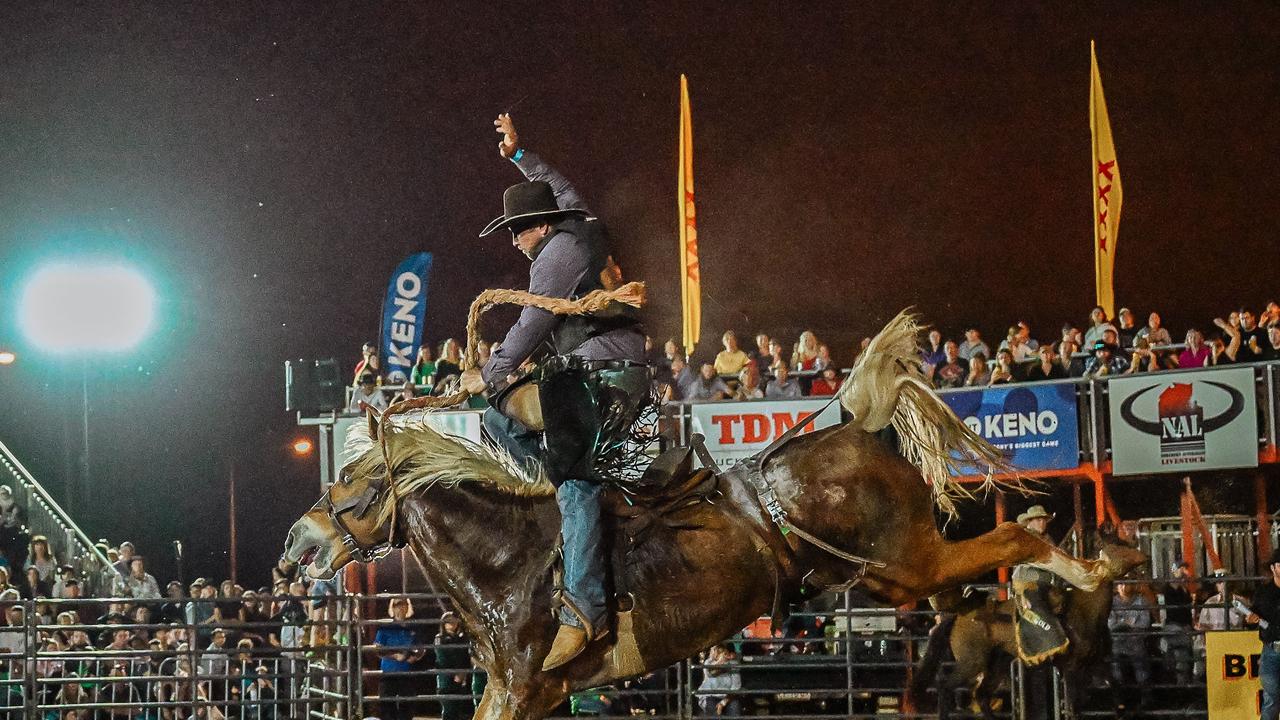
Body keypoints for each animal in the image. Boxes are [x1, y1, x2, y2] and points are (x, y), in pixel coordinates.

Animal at [282, 310, 1111, 717]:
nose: (295, 540)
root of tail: (857, 426)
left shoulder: (524, 686)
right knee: (974, 584)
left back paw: (1089, 574)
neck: (509, 561)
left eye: (351, 479)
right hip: (888, 577)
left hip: (907, 558)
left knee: (1010, 538)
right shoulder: (519, 690)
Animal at [906, 527, 1146, 717]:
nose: (1143, 559)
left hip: (998, 662)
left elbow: (1115, 686)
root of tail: (959, 614)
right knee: (945, 686)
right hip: (971, 661)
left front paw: (1121, 709)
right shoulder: (1071, 667)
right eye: (1116, 543)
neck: (1086, 610)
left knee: (981, 694)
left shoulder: (1096, 662)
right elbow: (1073, 704)